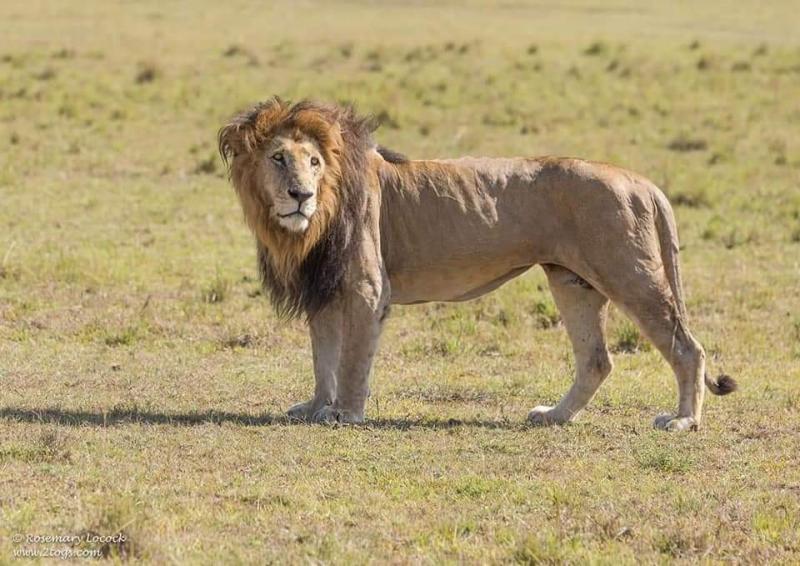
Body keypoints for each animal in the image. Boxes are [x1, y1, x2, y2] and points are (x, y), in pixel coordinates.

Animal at [218, 97, 737, 431]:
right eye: (279, 158)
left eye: (314, 162)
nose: (300, 195)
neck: (307, 226)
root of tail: (639, 179)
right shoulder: (323, 290)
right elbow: (322, 356)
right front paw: (316, 407)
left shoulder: (367, 288)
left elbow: (350, 361)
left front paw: (345, 413)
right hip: (572, 282)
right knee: (596, 359)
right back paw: (554, 417)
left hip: (629, 274)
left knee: (687, 348)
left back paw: (684, 420)